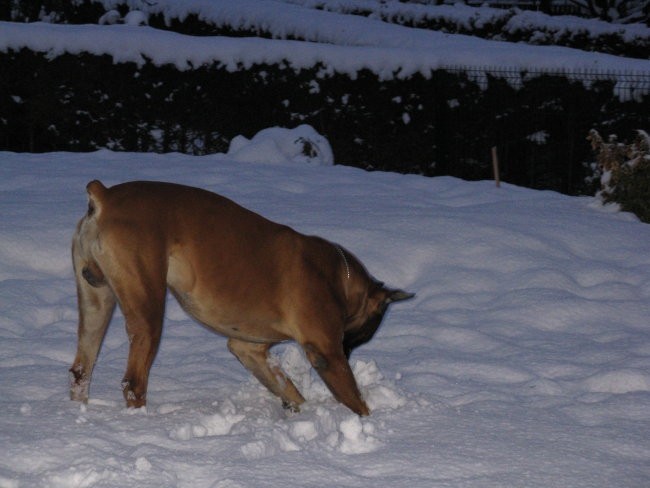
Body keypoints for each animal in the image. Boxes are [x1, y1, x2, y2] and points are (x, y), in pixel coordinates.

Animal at [71, 180, 412, 416]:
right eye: (358, 337)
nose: (349, 351)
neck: (339, 277)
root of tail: (105, 196)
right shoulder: (326, 353)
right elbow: (354, 399)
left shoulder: (250, 350)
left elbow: (289, 389)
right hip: (148, 312)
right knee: (133, 383)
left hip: (96, 304)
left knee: (81, 371)